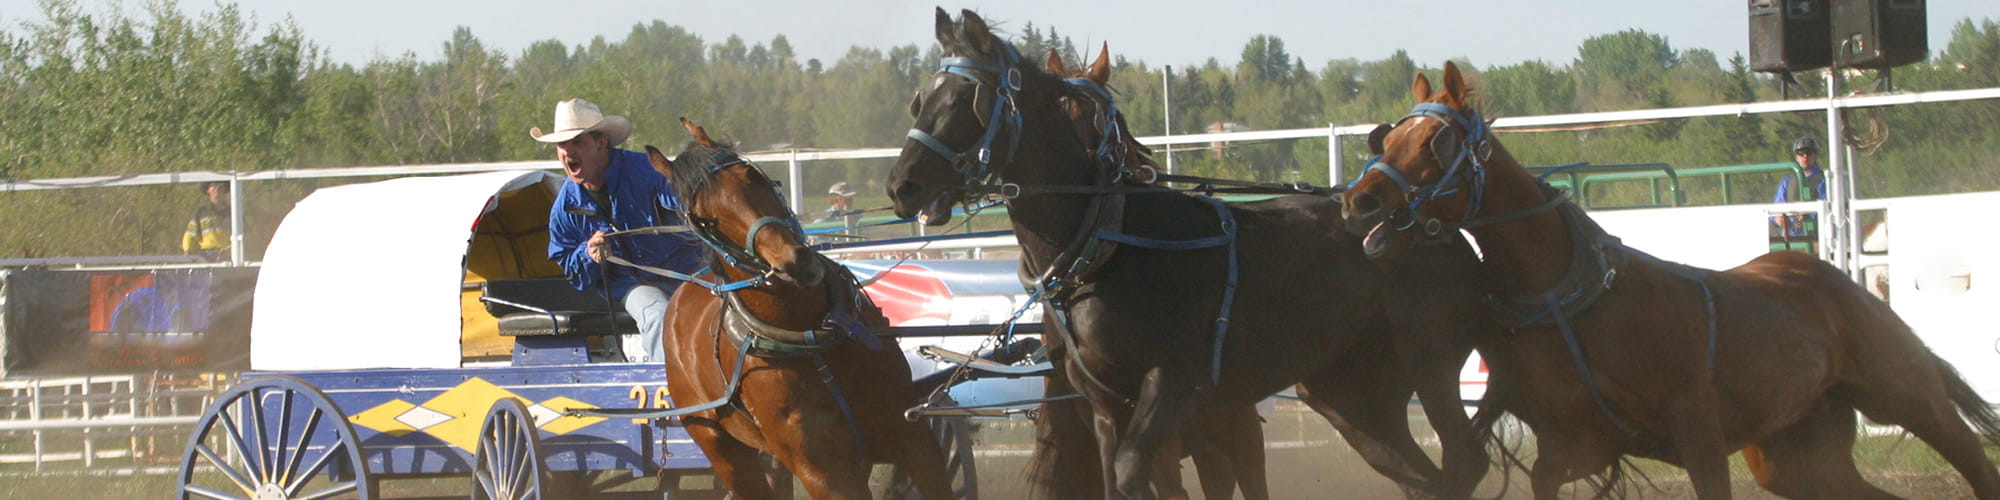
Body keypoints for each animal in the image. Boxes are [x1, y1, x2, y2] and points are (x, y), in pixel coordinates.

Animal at [644, 119, 948, 498]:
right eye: (703, 219)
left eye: (751, 175)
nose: (794, 262)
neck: (807, 335)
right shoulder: (824, 470)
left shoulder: (913, 435)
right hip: (721, 449)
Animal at [892, 8, 1504, 500]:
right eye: (921, 99)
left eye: (964, 100)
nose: (903, 185)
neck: (1108, 245)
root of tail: (1431, 219)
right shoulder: (1104, 405)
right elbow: (1118, 479)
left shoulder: (1177, 387)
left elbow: (1138, 473)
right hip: (1350, 393)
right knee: (1416, 473)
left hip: (1428, 360)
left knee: (1462, 462)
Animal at [1336, 62, 2000, 500]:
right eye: (1389, 135)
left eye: (1435, 139)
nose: (1359, 200)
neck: (1577, 300)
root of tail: (1833, 281)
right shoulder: (1576, 444)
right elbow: (1547, 475)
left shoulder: (1699, 437)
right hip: (1800, 456)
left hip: (1908, 395)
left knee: (1974, 461)